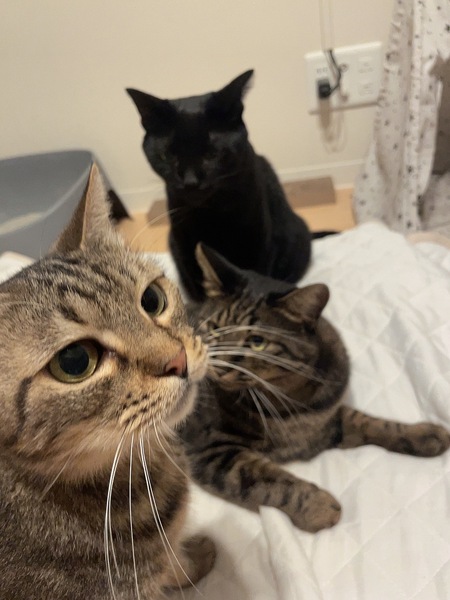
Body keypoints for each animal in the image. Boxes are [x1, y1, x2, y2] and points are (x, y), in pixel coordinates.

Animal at [127, 70, 312, 301]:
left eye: (212, 154)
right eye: (168, 156)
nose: (190, 181)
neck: (212, 213)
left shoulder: (258, 241)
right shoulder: (185, 246)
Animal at [180, 244, 450, 533]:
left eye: (257, 342)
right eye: (214, 328)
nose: (218, 366)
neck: (286, 400)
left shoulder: (327, 420)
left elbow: (373, 422)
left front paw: (425, 434)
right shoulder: (211, 449)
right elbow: (266, 480)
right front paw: (318, 505)